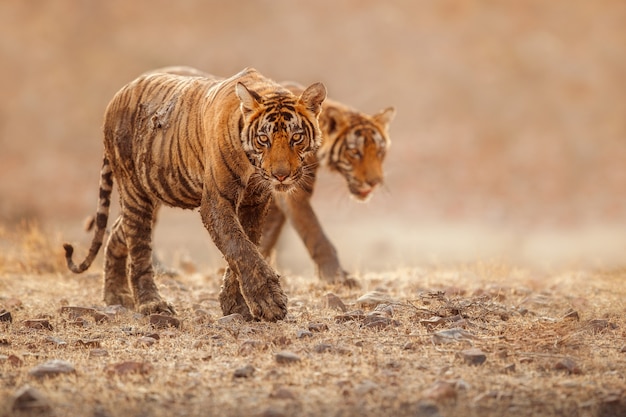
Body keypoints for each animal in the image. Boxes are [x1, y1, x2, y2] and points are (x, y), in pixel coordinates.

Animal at [62, 66, 326, 320]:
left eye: (296, 137)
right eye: (263, 139)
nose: (281, 175)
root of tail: (118, 95)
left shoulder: (255, 202)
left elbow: (246, 246)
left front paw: (235, 305)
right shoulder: (216, 202)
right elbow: (240, 247)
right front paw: (268, 302)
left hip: (150, 193)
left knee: (119, 231)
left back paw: (115, 294)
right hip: (135, 191)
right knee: (138, 248)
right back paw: (152, 304)